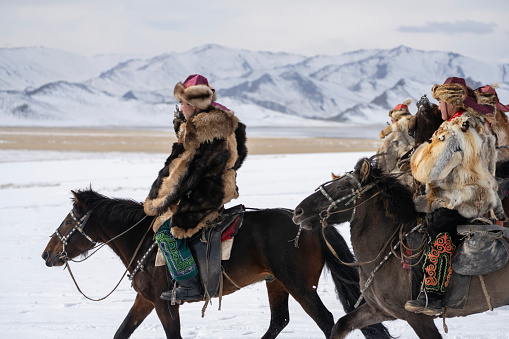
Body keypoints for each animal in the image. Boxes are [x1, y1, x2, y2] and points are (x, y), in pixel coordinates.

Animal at [41, 189, 388, 339]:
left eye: (69, 221)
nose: (47, 254)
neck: (142, 238)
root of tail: (313, 225)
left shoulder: (165, 304)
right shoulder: (146, 300)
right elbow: (121, 333)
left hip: (300, 285)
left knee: (327, 321)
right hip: (276, 282)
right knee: (279, 321)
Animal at [292, 158, 509, 339]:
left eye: (342, 187)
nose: (299, 211)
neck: (386, 249)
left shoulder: (417, 318)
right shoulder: (379, 311)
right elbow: (341, 325)